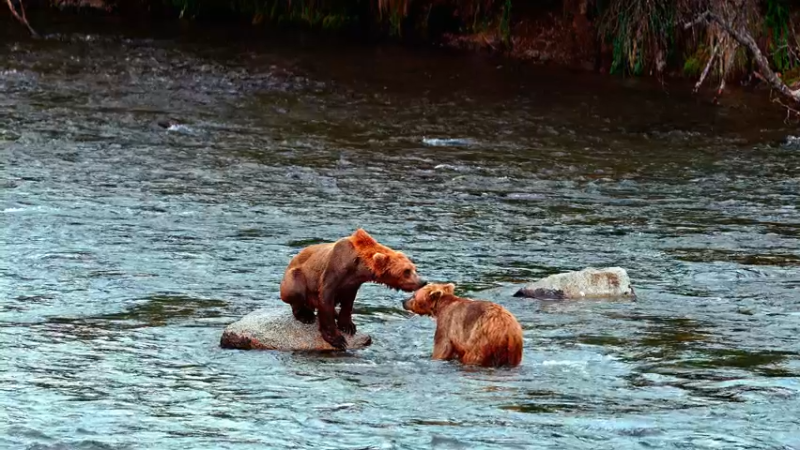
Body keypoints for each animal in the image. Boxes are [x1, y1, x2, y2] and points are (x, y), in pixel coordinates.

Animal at [280, 229, 428, 352]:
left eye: (414, 268)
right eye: (406, 271)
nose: (423, 281)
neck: (358, 267)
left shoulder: (352, 283)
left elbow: (348, 302)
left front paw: (348, 326)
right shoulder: (334, 269)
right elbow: (326, 297)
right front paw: (337, 339)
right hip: (294, 277)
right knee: (296, 291)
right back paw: (306, 315)